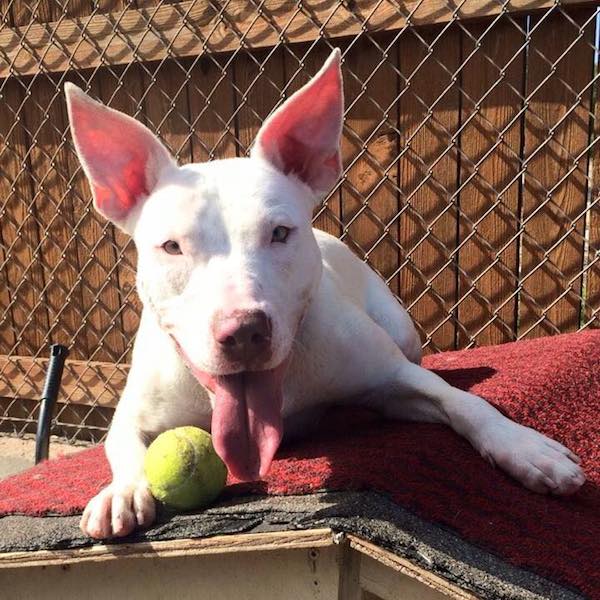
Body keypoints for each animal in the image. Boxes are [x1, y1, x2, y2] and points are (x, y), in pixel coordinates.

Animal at [65, 50, 584, 540]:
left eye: (279, 233)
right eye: (172, 246)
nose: (245, 331)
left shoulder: (392, 377)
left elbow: (463, 402)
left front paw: (523, 446)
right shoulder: (134, 413)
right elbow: (122, 444)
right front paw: (122, 491)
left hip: (399, 329)